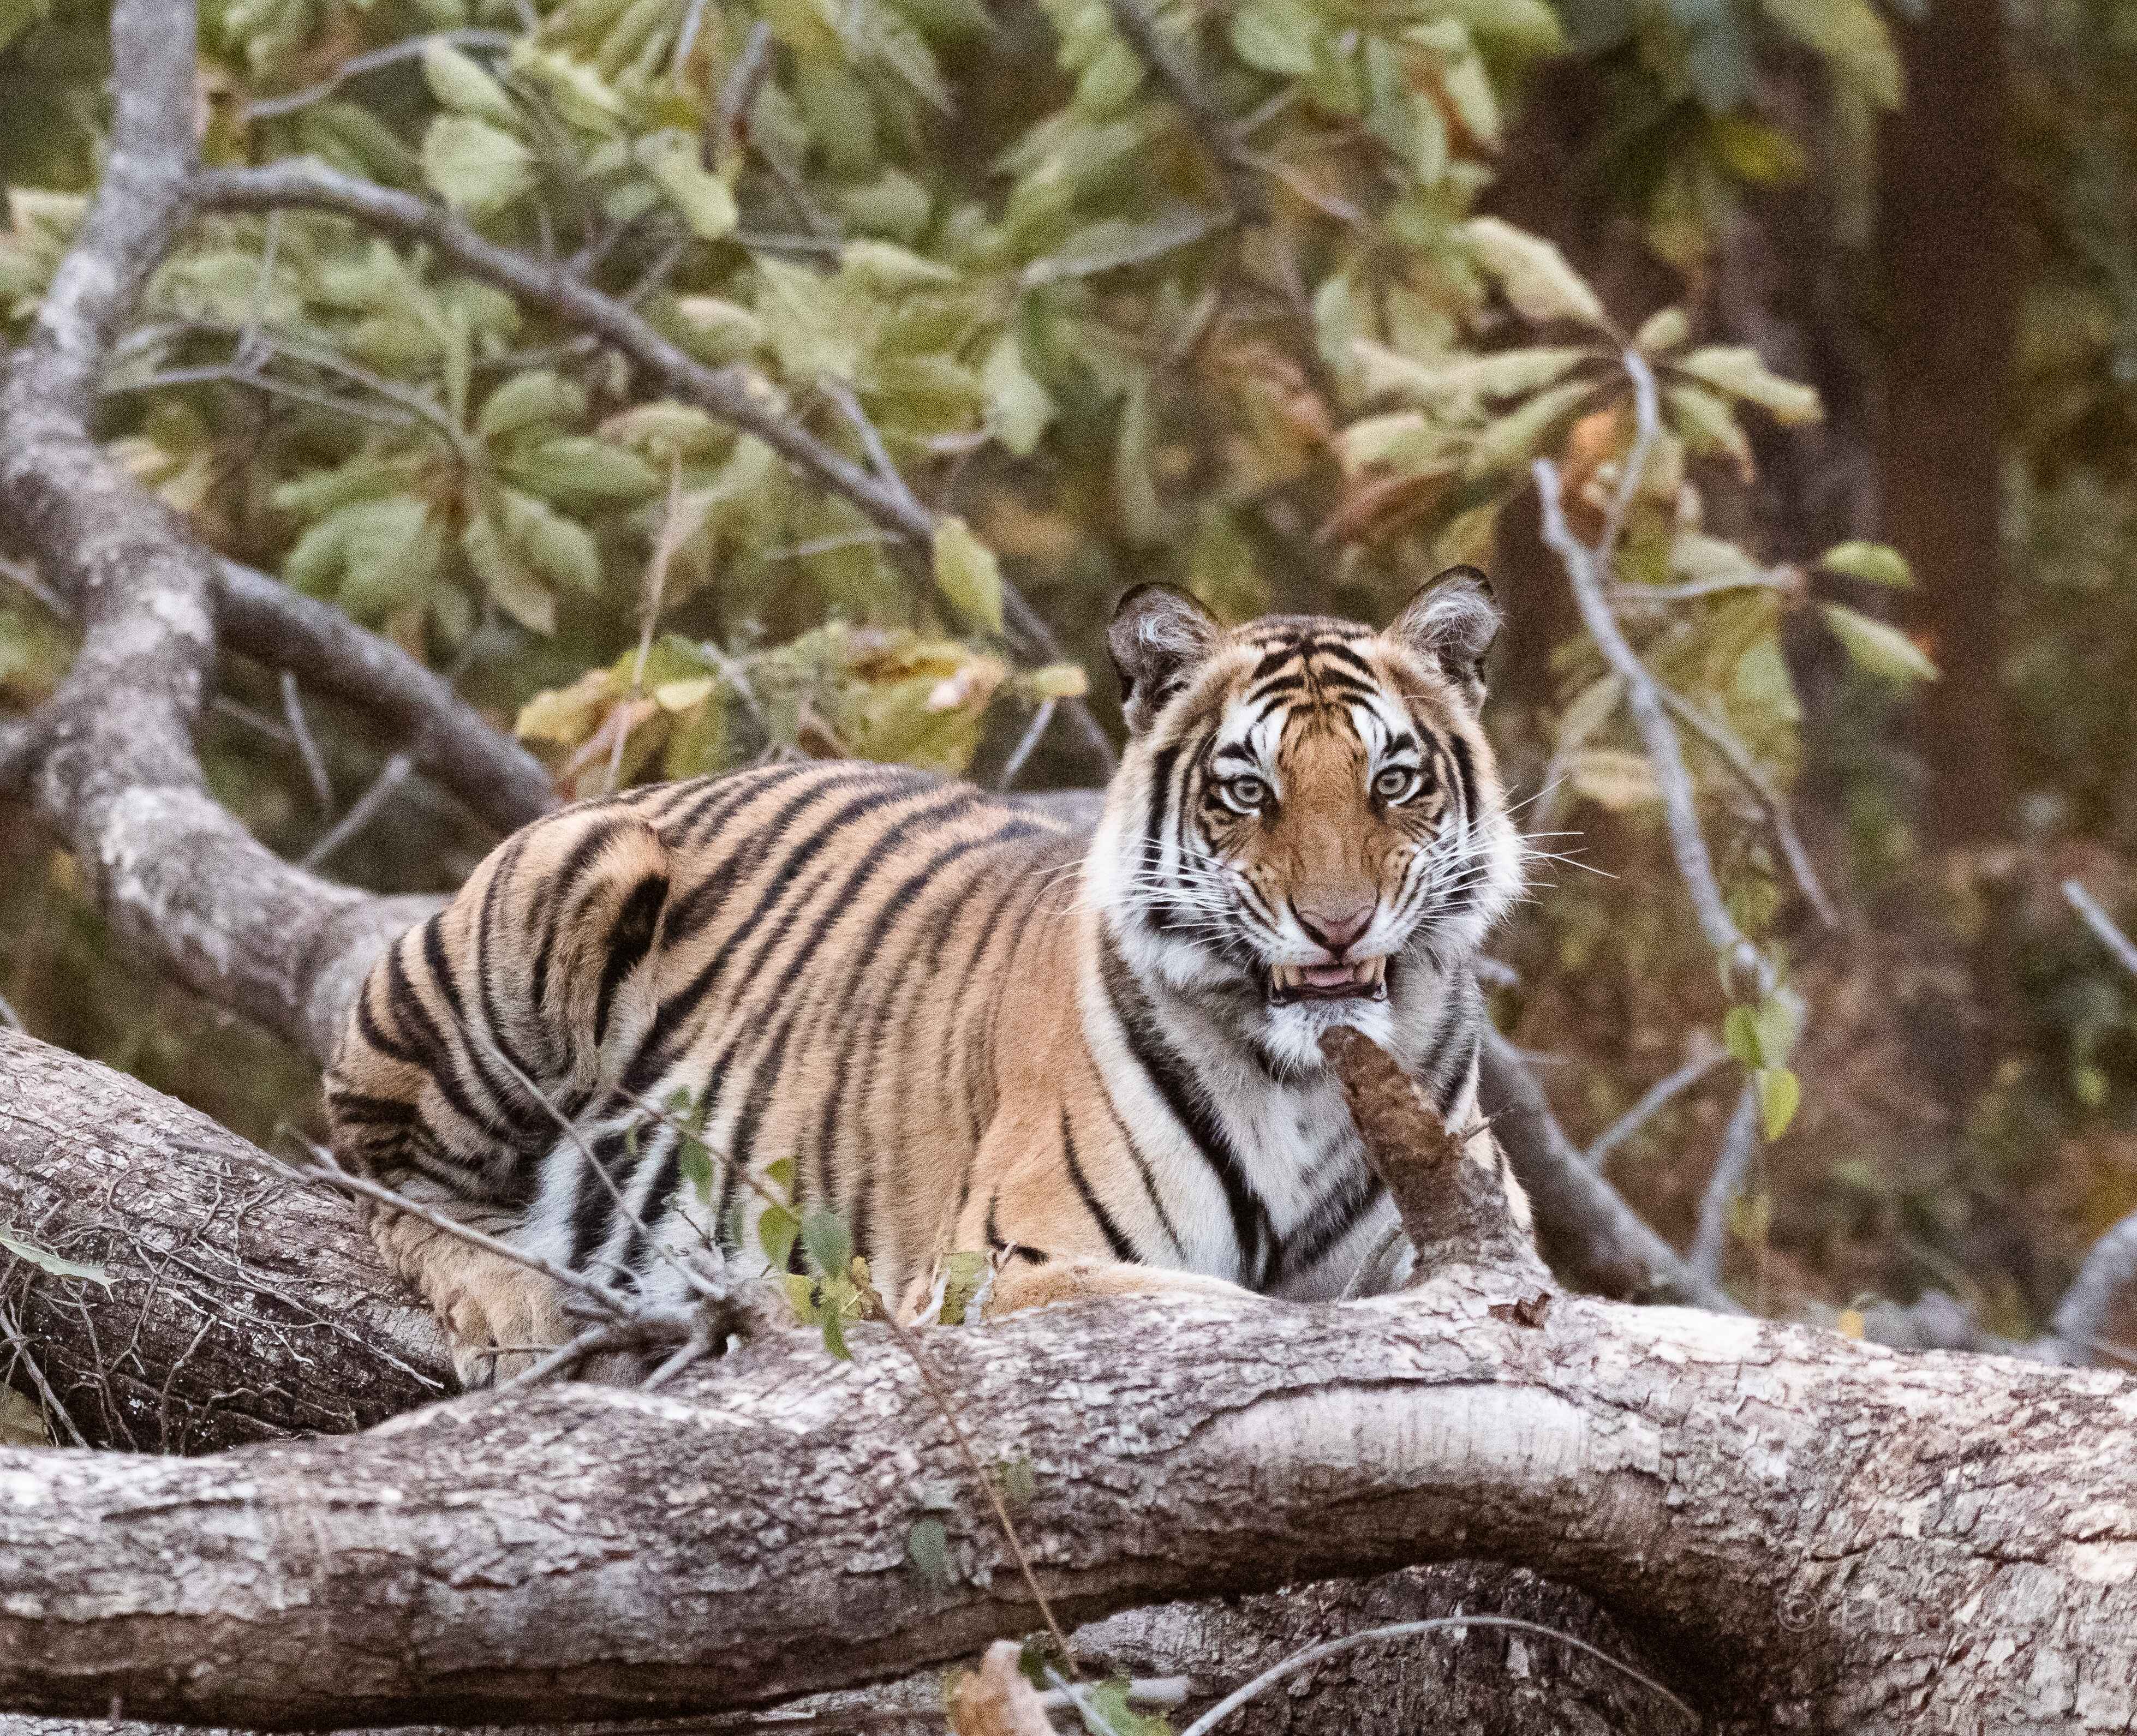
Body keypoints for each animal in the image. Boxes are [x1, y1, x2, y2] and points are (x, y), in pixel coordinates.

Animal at [324, 568, 1528, 1383]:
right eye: (1246, 790)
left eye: (1392, 780)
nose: (1336, 927)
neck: (1307, 1083)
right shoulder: (1010, 1265)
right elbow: (1235, 1313)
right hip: (572, 876)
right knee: (382, 1179)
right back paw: (510, 1305)